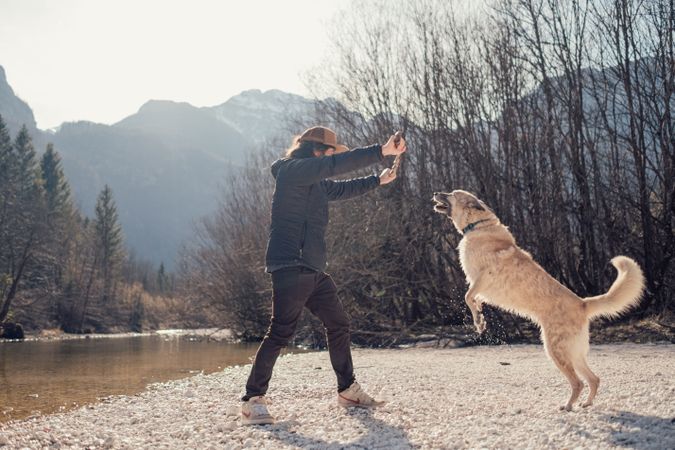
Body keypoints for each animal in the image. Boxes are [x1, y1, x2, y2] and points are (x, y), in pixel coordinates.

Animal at [434, 188, 644, 410]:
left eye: (452, 193)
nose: (436, 193)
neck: (478, 226)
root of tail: (582, 303)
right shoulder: (478, 285)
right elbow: (473, 300)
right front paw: (480, 319)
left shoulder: (485, 277)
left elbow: (467, 296)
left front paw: (479, 322)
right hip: (574, 353)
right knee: (593, 379)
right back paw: (585, 404)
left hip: (555, 350)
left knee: (578, 382)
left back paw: (567, 406)